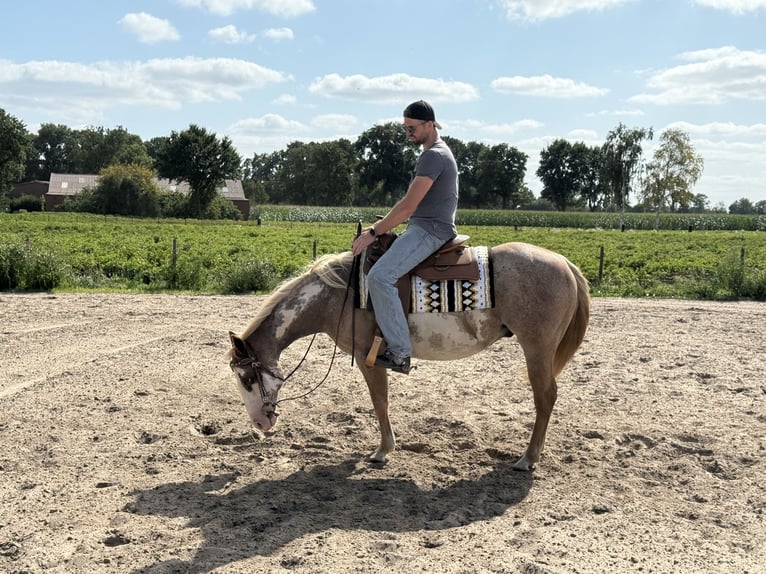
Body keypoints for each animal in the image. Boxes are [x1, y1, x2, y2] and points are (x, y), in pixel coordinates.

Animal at [228, 241, 590, 471]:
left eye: (246, 378)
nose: (259, 423)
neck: (336, 296)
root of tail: (564, 262)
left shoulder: (368, 357)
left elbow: (379, 401)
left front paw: (382, 450)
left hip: (537, 350)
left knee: (545, 397)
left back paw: (528, 458)